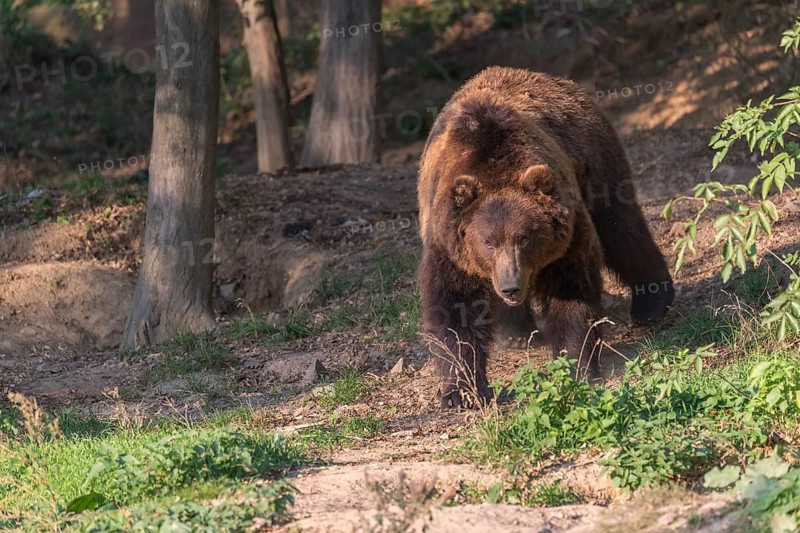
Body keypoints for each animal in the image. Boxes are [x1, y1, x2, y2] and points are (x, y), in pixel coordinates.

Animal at [417, 67, 674, 409]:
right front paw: (463, 391)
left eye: (525, 237)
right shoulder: (450, 246)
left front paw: (576, 368)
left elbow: (571, 294)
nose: (510, 286)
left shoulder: (566, 239)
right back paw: (515, 332)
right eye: (488, 241)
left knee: (622, 230)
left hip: (597, 164)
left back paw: (652, 302)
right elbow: (454, 307)